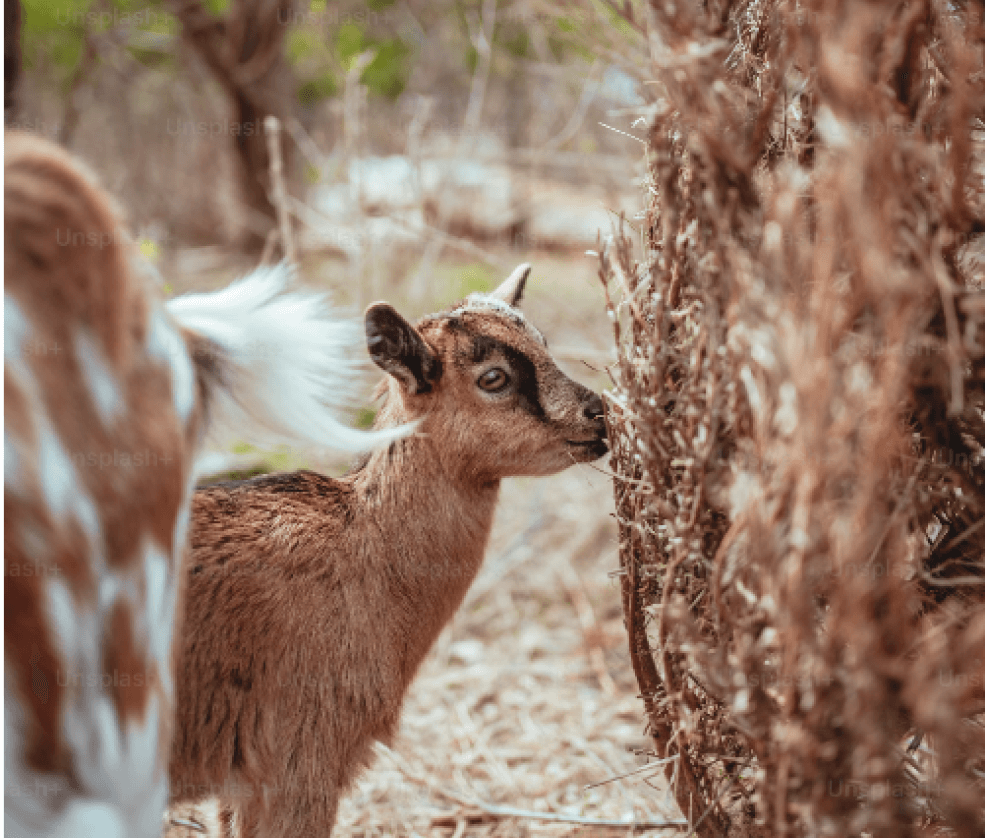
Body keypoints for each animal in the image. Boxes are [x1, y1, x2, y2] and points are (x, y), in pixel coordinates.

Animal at [167, 263, 609, 837]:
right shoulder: (299, 758)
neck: (362, 549)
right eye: (493, 378)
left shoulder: (239, 784)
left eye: (543, 343)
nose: (598, 415)